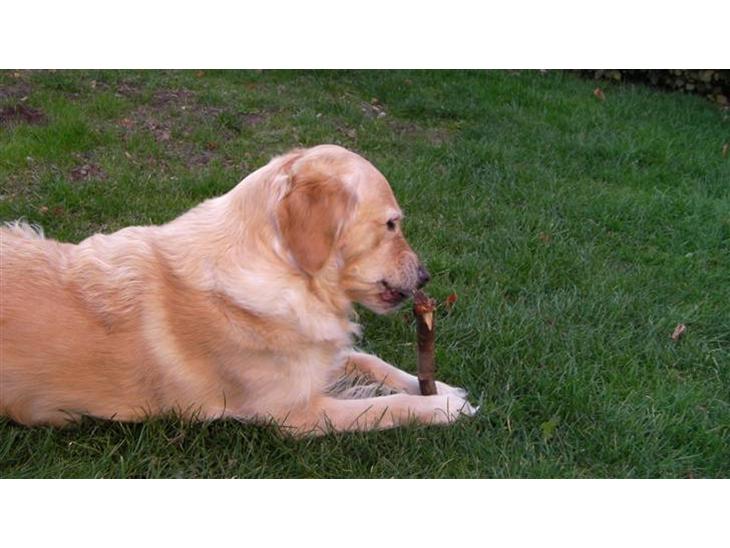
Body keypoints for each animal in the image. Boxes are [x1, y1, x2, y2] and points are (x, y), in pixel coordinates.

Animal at [0, 145, 475, 435]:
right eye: (391, 224)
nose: (425, 276)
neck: (285, 273)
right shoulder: (299, 414)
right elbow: (386, 406)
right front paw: (443, 408)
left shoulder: (315, 355)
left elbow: (370, 360)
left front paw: (441, 387)